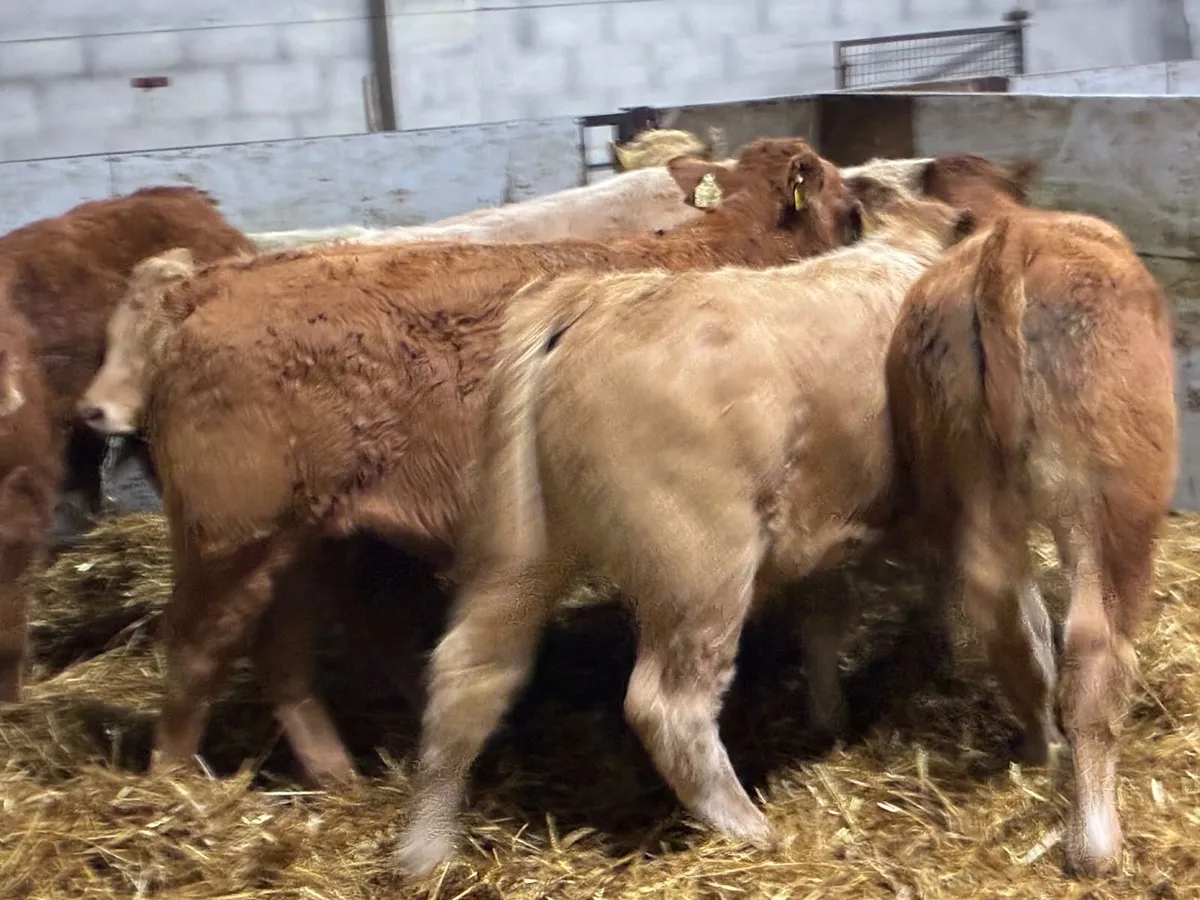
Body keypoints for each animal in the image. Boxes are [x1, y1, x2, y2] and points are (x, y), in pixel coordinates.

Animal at [393, 185, 979, 877]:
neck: (896, 250)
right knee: (667, 706)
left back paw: (424, 852)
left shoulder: (822, 529)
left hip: (525, 547)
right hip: (701, 564)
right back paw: (750, 829)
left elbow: (823, 622)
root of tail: (591, 299)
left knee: (469, 669)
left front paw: (830, 716)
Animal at [882, 187, 1178, 874]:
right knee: (1092, 645)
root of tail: (1010, 239)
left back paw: (1043, 746)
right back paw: (1094, 841)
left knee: (1007, 618)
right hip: (1105, 504)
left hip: (970, 486)